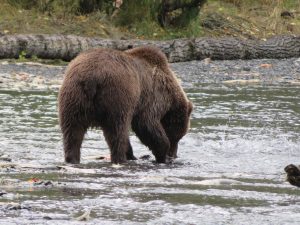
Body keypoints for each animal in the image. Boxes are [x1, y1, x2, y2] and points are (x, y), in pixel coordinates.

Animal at [58, 46, 192, 164]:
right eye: (178, 137)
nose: (173, 155)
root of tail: (91, 78)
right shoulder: (153, 97)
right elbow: (146, 123)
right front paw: (162, 154)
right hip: (117, 96)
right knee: (117, 131)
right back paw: (120, 159)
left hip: (74, 96)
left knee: (72, 131)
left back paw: (72, 159)